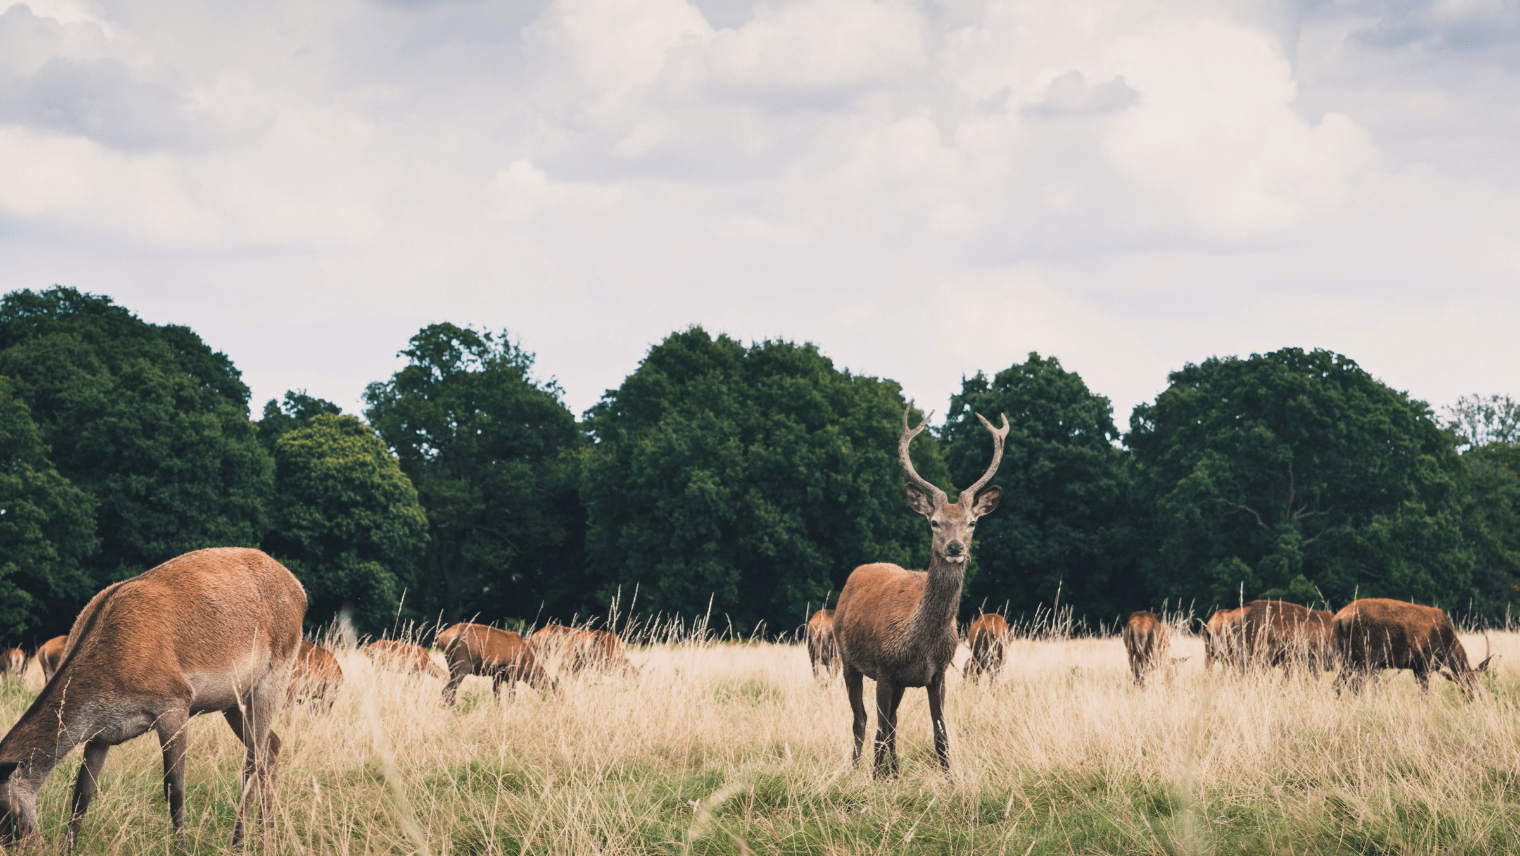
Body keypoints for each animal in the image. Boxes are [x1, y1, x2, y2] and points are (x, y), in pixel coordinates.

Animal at [0, 547, 305, 852]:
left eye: (5, 815)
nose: (25, 846)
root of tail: (300, 590)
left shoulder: (175, 702)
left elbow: (174, 789)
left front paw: (182, 848)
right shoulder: (101, 733)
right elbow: (82, 794)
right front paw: (68, 848)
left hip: (274, 675)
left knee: (252, 763)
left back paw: (238, 843)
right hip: (233, 699)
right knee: (271, 747)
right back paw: (267, 834)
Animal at [835, 402, 1007, 778]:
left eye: (973, 522)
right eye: (934, 522)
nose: (956, 547)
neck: (920, 644)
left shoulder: (938, 674)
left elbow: (940, 733)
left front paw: (949, 781)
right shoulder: (885, 669)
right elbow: (880, 729)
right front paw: (874, 781)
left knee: (892, 722)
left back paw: (896, 772)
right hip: (847, 659)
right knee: (862, 720)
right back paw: (856, 770)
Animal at [1332, 598, 1493, 699]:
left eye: (1480, 684)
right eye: (1467, 683)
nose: (1476, 697)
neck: (1448, 647)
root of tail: (1338, 619)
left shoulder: (1416, 667)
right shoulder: (1426, 663)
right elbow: (1424, 693)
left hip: (1348, 659)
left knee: (1338, 684)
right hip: (1366, 656)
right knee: (1355, 685)